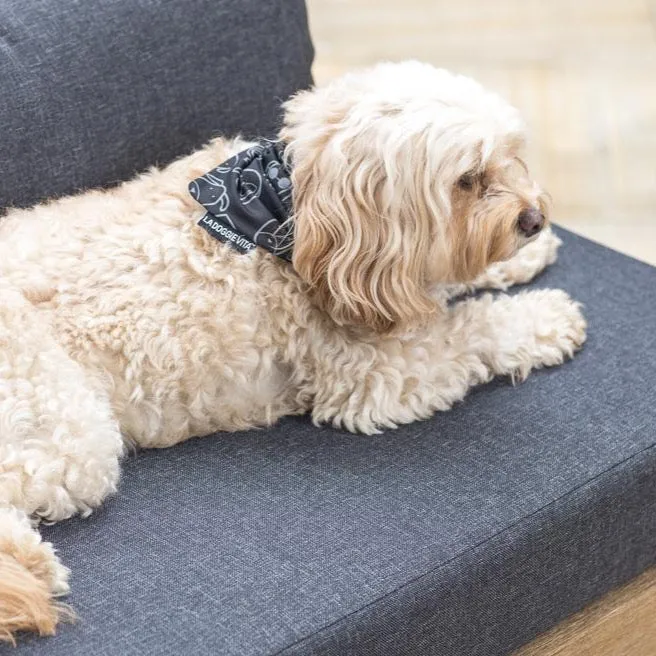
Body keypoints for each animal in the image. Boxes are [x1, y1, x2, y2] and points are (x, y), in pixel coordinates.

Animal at [0, 61, 584, 640]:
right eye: (467, 180)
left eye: (510, 155)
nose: (534, 219)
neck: (296, 207)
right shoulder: (375, 373)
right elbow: (471, 328)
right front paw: (545, 317)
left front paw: (521, 260)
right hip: (69, 432)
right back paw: (32, 567)